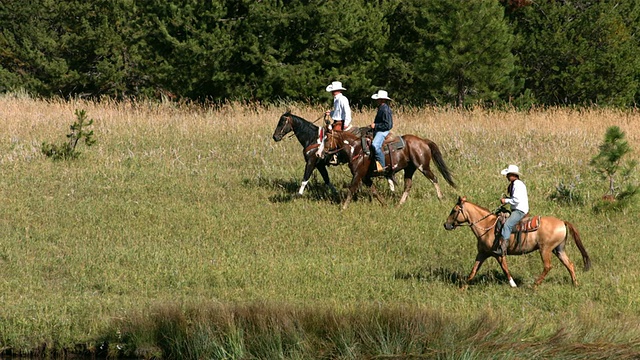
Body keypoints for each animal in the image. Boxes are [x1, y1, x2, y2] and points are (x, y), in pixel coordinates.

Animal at [324, 129, 456, 210]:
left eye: (326, 139)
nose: (323, 153)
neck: (357, 149)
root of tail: (423, 141)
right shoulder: (366, 178)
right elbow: (374, 191)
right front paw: (384, 204)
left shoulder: (358, 174)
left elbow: (352, 189)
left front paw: (343, 207)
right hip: (409, 169)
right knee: (408, 185)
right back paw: (399, 204)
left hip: (423, 166)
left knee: (434, 178)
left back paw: (440, 198)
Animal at [444, 195, 592, 288]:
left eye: (454, 210)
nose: (446, 225)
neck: (488, 226)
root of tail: (562, 222)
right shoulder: (482, 254)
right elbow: (473, 271)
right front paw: (463, 288)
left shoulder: (499, 254)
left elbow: (505, 269)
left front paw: (513, 285)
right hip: (558, 249)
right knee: (569, 264)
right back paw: (575, 284)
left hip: (545, 249)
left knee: (548, 266)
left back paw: (534, 285)